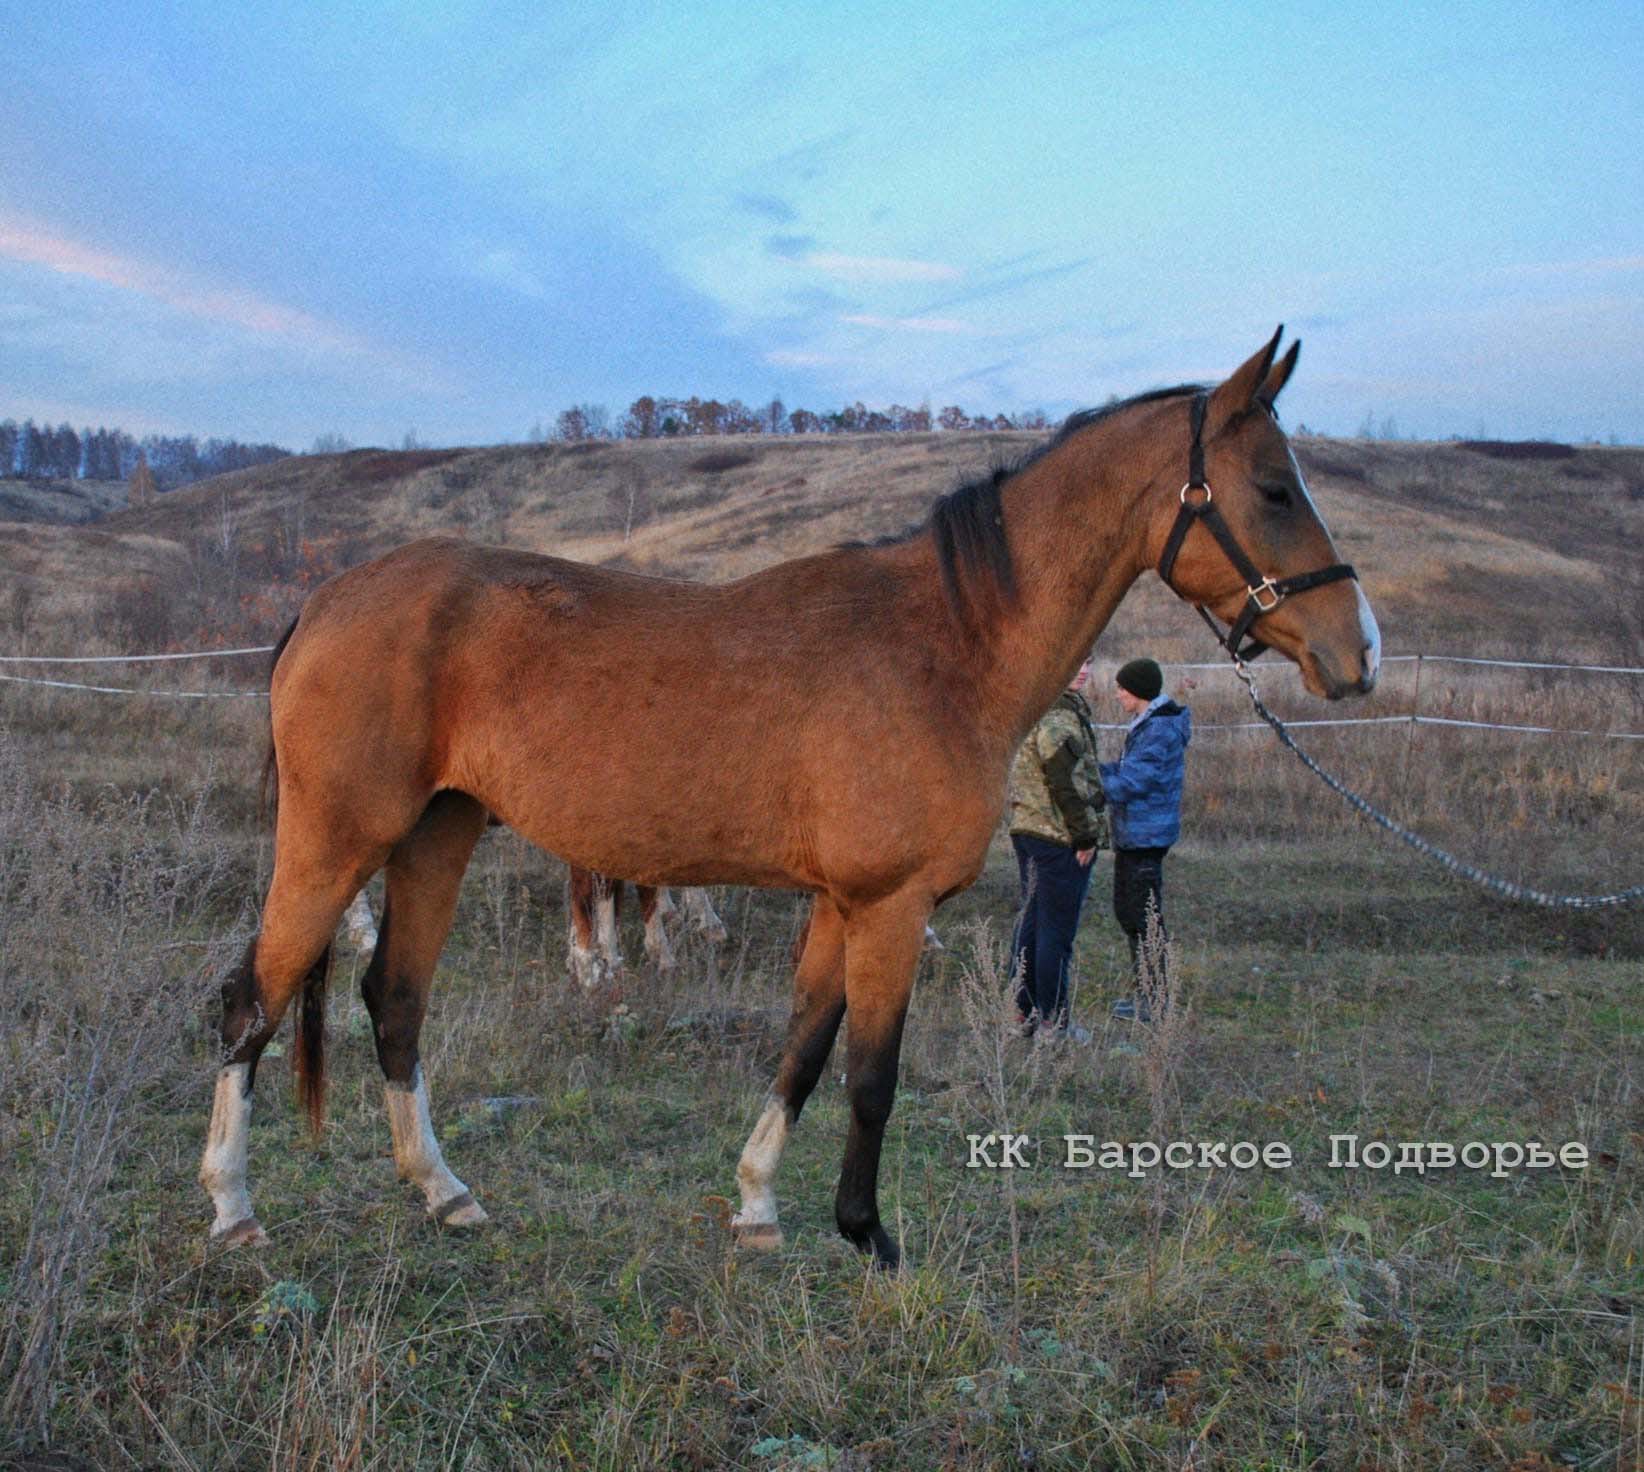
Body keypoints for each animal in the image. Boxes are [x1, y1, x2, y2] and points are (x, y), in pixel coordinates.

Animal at [200, 330, 1379, 1266]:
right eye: (1274, 488)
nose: (1357, 652)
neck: (944, 646)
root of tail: (328, 599)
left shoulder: (838, 904)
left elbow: (804, 1050)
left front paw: (759, 1205)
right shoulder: (890, 906)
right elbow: (871, 1074)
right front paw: (868, 1235)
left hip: (435, 836)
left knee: (394, 1002)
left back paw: (444, 1192)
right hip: (336, 839)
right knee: (253, 1000)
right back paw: (233, 1207)